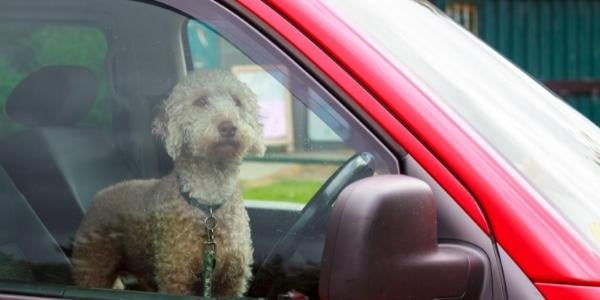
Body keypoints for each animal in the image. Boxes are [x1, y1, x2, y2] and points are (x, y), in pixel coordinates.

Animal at [71, 69, 264, 296]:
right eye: (200, 101)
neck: (208, 202)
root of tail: (98, 196)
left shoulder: (232, 281)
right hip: (93, 266)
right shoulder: (175, 276)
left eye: (237, 102)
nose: (229, 127)